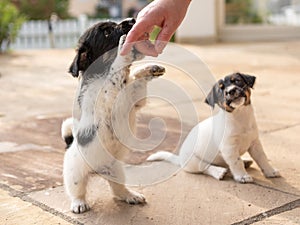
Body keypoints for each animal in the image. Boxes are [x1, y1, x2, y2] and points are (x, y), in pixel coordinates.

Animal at [60, 18, 164, 214]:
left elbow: (134, 80)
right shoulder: (107, 97)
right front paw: (125, 48)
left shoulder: (134, 99)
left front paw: (148, 69)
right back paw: (79, 203)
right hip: (75, 172)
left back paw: (130, 196)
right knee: (76, 190)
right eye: (107, 32)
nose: (132, 20)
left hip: (117, 170)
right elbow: (118, 66)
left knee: (117, 189)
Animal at [146, 73, 280, 184]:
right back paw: (219, 172)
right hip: (194, 162)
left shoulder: (255, 143)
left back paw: (246, 161)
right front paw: (242, 176)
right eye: (221, 89)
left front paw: (270, 171)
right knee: (205, 168)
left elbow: (262, 158)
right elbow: (236, 162)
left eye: (237, 81)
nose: (231, 91)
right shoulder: (229, 148)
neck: (240, 116)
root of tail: (179, 159)